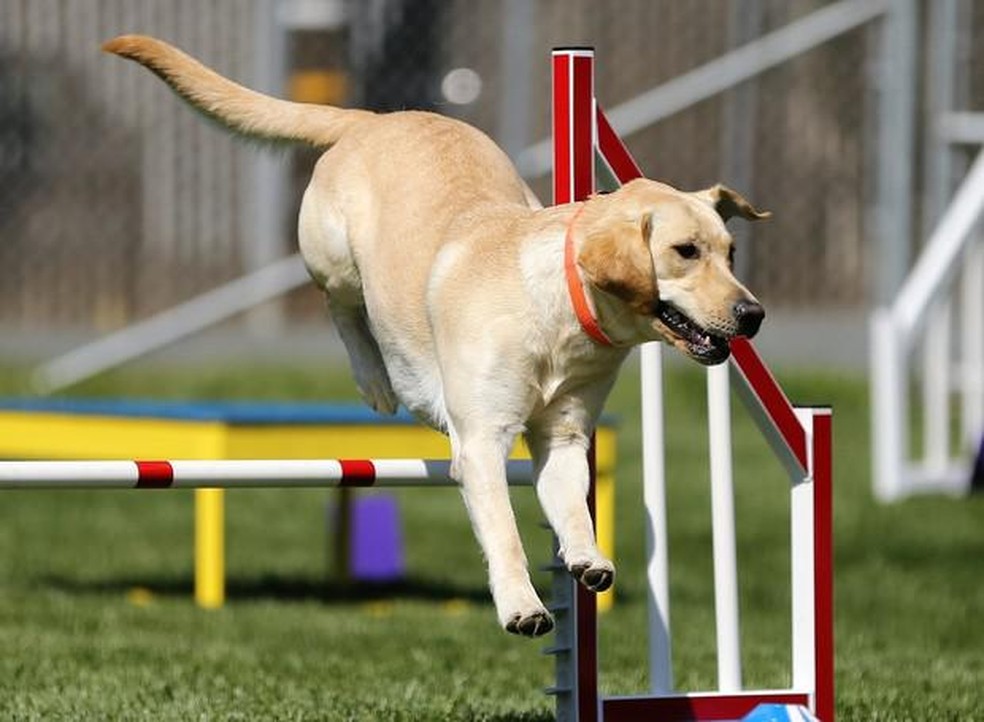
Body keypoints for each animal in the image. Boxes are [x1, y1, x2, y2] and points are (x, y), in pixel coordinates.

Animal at [105, 36, 768, 636]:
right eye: (685, 251)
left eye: (731, 252)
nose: (753, 314)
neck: (559, 311)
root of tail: (374, 119)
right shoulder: (481, 444)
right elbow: (503, 531)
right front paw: (523, 607)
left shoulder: (564, 436)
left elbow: (576, 509)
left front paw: (587, 559)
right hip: (333, 258)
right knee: (341, 308)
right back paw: (375, 380)